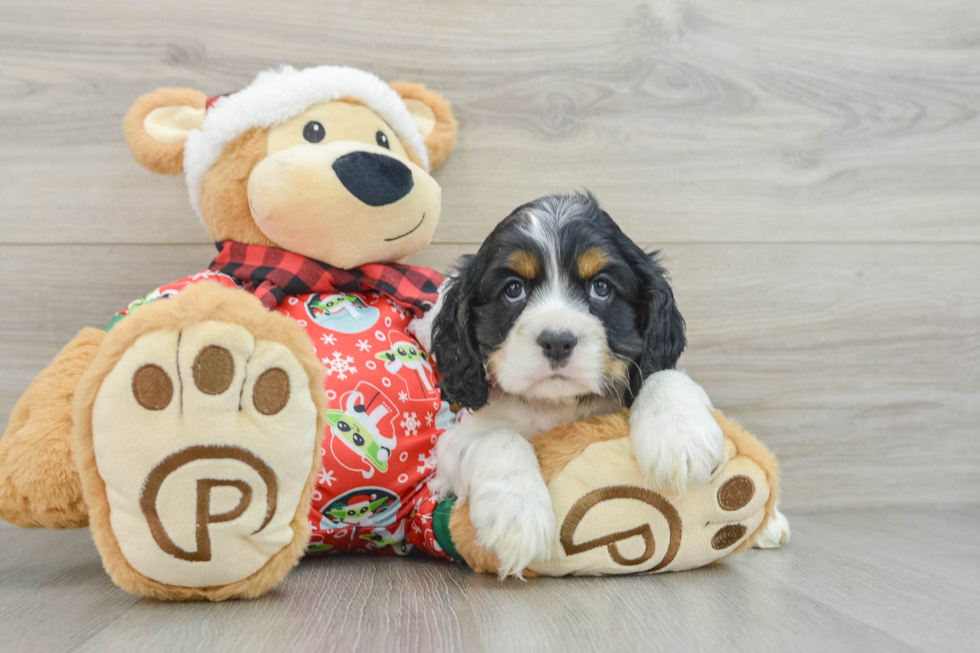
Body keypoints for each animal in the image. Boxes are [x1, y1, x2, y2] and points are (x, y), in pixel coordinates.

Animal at [414, 192, 728, 576]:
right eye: (513, 289)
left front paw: (681, 440)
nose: (557, 341)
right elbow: (501, 437)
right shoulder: (452, 446)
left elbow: (661, 374)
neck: (558, 404)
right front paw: (516, 516)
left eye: (601, 287)